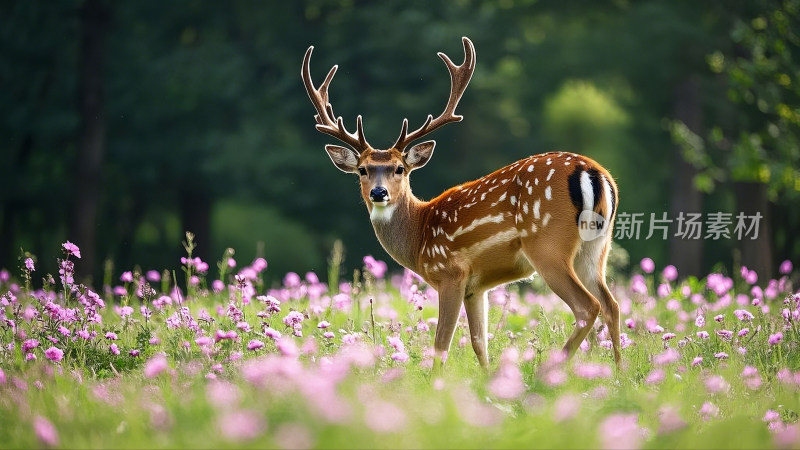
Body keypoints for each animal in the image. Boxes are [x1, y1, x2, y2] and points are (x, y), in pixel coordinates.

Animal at [300, 37, 620, 370]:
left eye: (399, 168)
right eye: (363, 169)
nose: (378, 193)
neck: (419, 236)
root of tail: (593, 172)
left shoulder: (450, 273)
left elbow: (441, 344)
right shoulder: (476, 288)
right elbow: (480, 343)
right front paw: (490, 379)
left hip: (548, 244)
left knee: (588, 306)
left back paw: (551, 370)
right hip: (597, 246)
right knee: (611, 304)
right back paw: (619, 373)